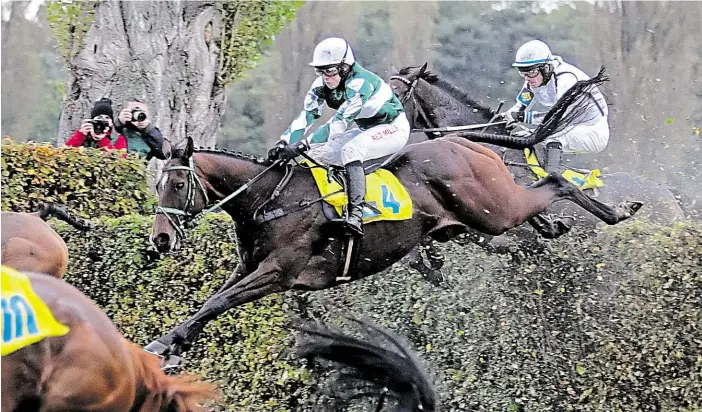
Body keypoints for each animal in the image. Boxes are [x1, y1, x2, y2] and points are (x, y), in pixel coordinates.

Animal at [143, 79, 644, 362]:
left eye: (177, 185)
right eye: (157, 184)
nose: (161, 240)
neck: (271, 199)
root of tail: (469, 144)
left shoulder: (277, 273)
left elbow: (216, 302)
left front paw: (168, 344)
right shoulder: (249, 268)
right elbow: (211, 301)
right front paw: (169, 343)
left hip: (496, 213)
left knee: (556, 183)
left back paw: (616, 211)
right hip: (487, 216)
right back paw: (558, 224)